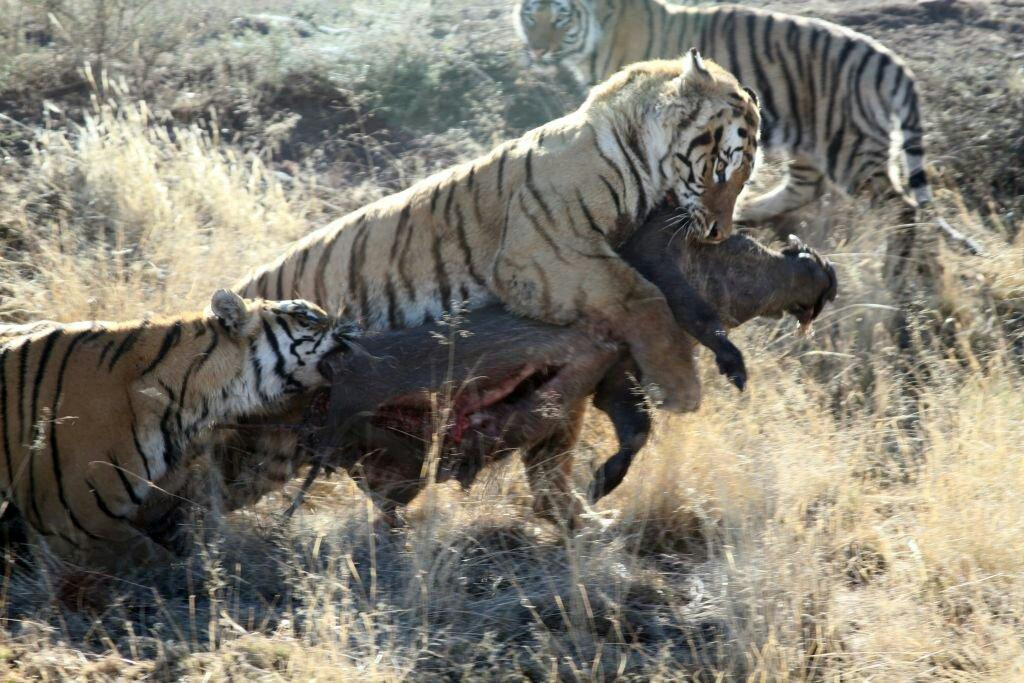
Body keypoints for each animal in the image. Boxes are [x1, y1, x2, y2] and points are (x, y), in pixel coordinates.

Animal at [513, 0, 933, 225]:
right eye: (532, 16)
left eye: (561, 17)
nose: (536, 49)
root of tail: (891, 59)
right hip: (812, 141)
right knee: (804, 186)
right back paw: (748, 209)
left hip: (850, 148)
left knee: (903, 209)